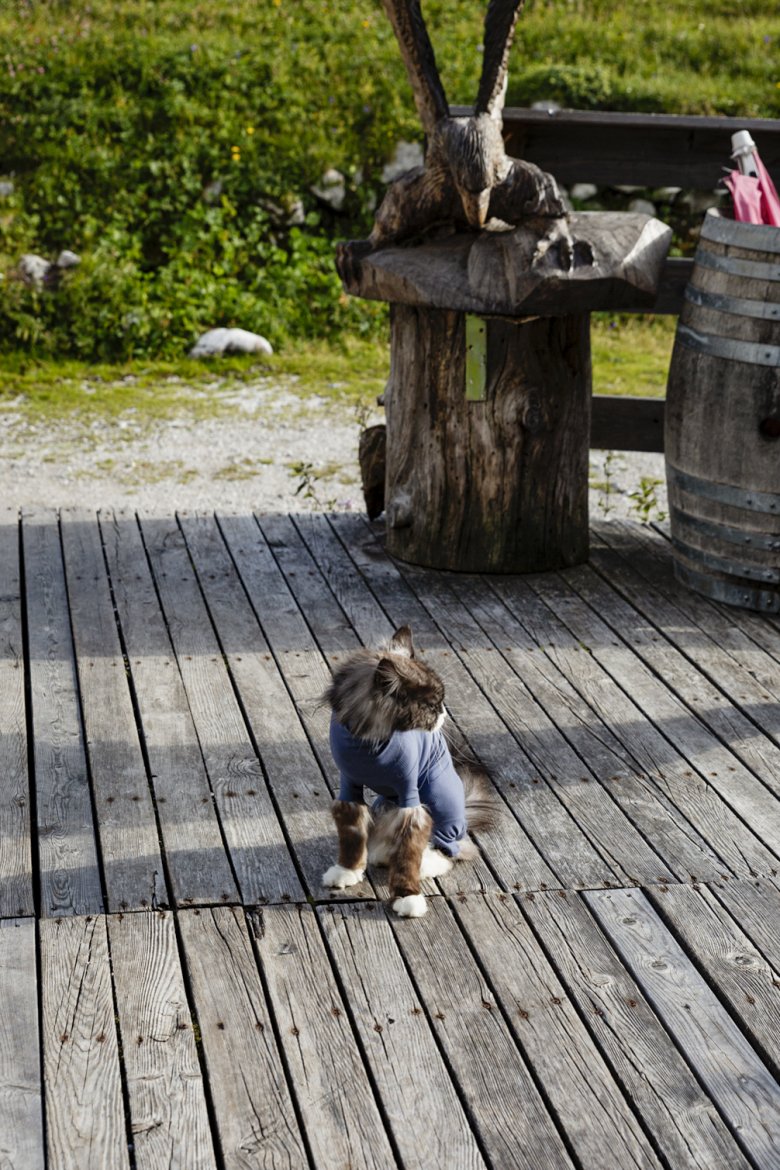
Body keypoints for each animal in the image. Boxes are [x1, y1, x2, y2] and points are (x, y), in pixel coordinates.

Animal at [322, 627, 493, 917]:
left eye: (440, 703)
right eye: (432, 705)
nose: (444, 713)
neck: (368, 742)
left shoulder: (410, 798)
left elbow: (409, 852)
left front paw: (408, 898)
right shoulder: (349, 788)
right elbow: (351, 835)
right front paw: (347, 871)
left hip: (442, 800)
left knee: (451, 849)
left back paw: (427, 862)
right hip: (384, 804)